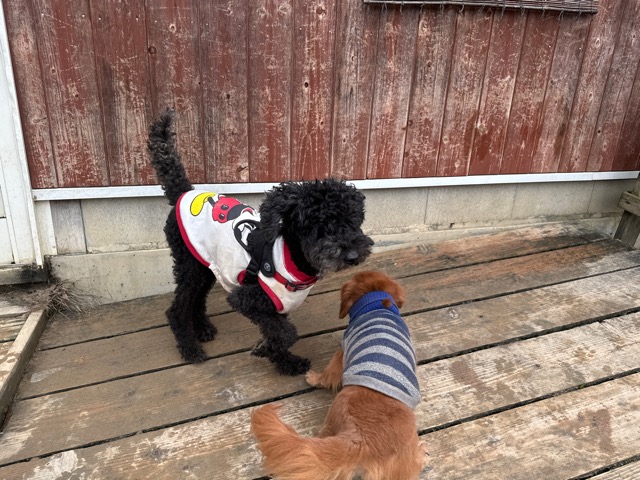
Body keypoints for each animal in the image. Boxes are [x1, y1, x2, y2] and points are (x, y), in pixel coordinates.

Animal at [147, 109, 373, 375]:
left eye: (353, 220)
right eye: (318, 226)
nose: (352, 255)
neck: (290, 257)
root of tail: (185, 192)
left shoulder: (274, 307)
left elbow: (277, 331)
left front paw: (283, 360)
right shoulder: (247, 300)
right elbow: (285, 333)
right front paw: (267, 350)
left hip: (205, 265)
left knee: (197, 298)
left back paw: (203, 329)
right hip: (189, 264)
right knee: (177, 308)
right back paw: (190, 349)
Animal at [251, 271, 425, 480]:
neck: (378, 304)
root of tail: (362, 440)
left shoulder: (341, 353)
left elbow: (328, 374)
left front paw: (314, 378)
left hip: (331, 420)